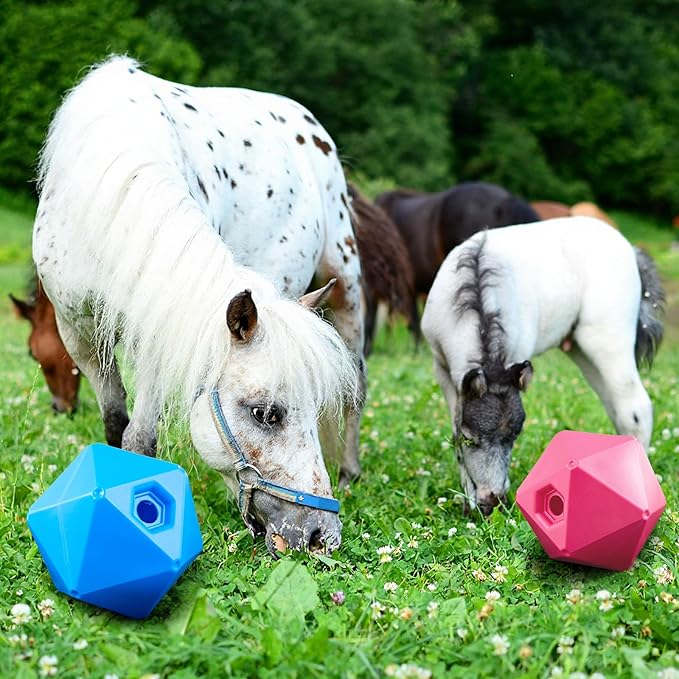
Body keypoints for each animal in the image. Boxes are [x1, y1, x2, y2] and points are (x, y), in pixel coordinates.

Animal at [33, 56, 365, 555]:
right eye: (266, 414)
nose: (320, 535)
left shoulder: (158, 334)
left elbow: (140, 438)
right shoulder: (81, 337)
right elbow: (115, 425)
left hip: (346, 289)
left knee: (357, 390)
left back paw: (349, 471)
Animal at [421, 216, 664, 516]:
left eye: (515, 437)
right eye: (472, 438)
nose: (493, 502)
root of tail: (631, 249)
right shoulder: (442, 368)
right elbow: (455, 429)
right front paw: (469, 501)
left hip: (607, 340)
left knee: (634, 406)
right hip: (582, 349)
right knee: (616, 406)